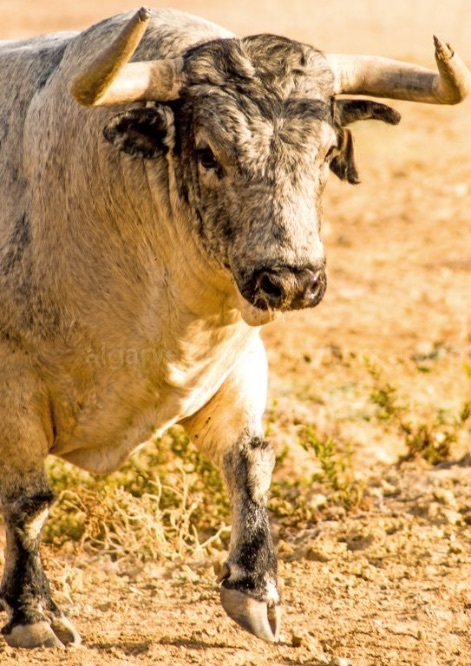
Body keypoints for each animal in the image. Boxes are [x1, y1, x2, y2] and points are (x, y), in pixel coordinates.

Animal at [0, 5, 469, 649]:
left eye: (326, 153)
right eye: (207, 154)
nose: (292, 279)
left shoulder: (240, 360)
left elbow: (250, 460)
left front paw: (256, 591)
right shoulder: (14, 385)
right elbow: (29, 502)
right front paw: (34, 615)